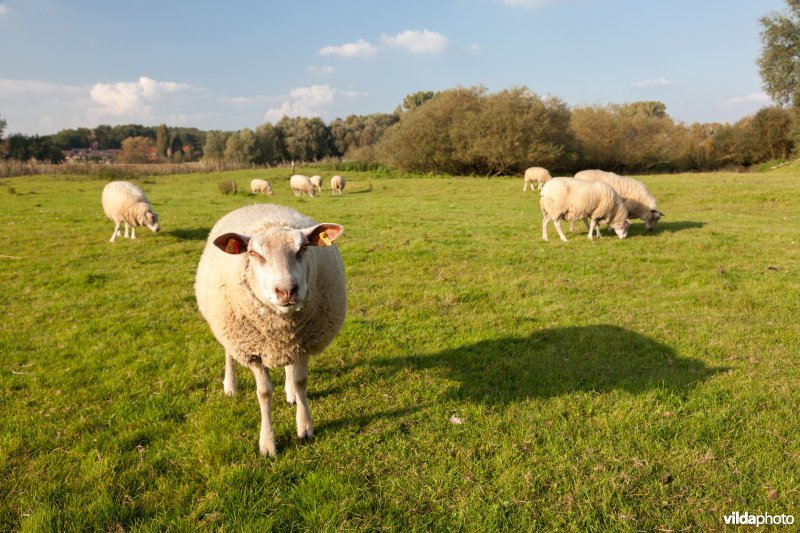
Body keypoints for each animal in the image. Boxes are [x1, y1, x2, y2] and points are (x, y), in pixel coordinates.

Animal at [195, 204, 346, 458]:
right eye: (253, 253)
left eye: (304, 247)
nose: (287, 290)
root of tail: (258, 205)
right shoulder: (253, 352)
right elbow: (264, 393)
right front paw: (267, 444)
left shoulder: (304, 343)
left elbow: (301, 381)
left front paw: (305, 426)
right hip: (227, 330)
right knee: (228, 354)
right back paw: (230, 386)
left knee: (289, 365)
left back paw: (290, 393)